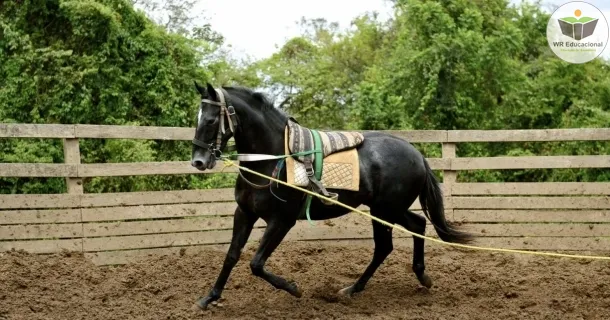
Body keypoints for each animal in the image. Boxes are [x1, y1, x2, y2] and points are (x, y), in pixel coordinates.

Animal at [190, 82, 470, 310]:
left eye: (211, 120)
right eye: (198, 119)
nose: (198, 161)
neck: (273, 159)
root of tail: (417, 154)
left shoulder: (281, 221)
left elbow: (256, 263)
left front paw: (293, 288)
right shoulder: (245, 213)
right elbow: (232, 255)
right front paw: (209, 298)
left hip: (384, 211)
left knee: (384, 247)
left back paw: (353, 289)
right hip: (388, 209)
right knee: (417, 225)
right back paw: (419, 276)